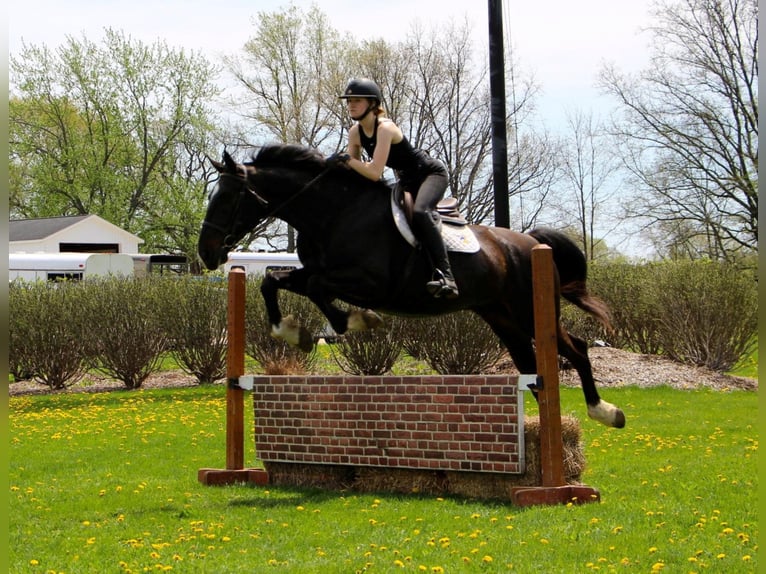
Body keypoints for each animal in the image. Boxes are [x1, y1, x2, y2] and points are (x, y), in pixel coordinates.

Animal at [201, 146, 628, 430]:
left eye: (228, 198)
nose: (206, 253)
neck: (332, 213)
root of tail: (530, 243)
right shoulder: (313, 272)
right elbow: (274, 282)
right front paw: (290, 331)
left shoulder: (370, 283)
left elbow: (322, 291)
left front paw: (355, 321)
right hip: (502, 317)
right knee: (530, 365)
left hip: (527, 310)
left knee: (576, 348)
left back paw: (604, 411)